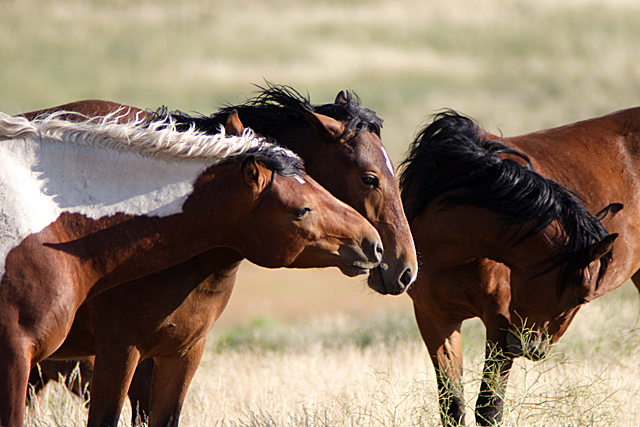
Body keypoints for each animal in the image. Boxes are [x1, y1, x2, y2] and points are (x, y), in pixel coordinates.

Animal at [398, 108, 640, 426]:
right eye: (582, 297)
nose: (532, 349)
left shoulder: (499, 322)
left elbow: (489, 409)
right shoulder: (435, 319)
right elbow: (452, 408)